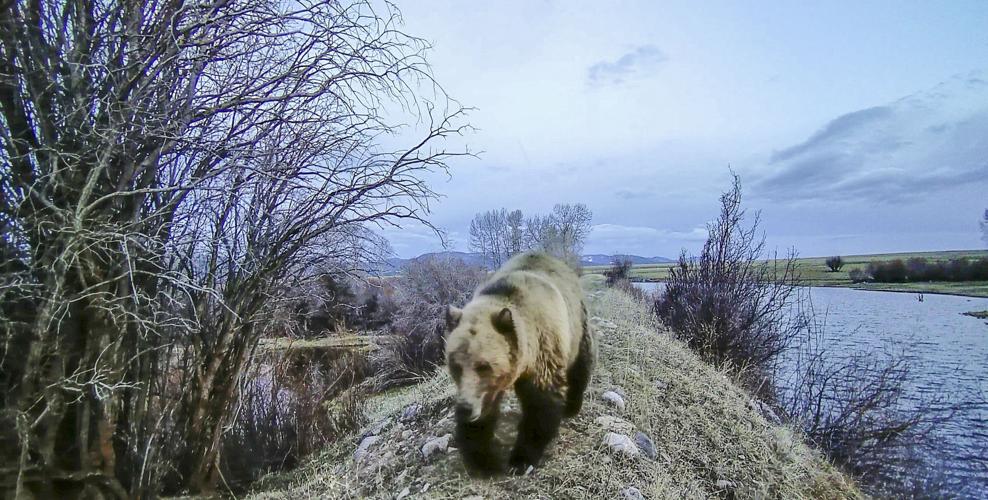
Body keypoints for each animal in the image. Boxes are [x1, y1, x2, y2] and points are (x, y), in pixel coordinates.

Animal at [443, 251, 596, 475]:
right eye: (455, 365)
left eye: (483, 366)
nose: (466, 408)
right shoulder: (487, 387)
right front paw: (481, 457)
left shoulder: (544, 348)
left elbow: (541, 404)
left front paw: (521, 459)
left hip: (577, 324)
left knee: (581, 364)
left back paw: (572, 405)